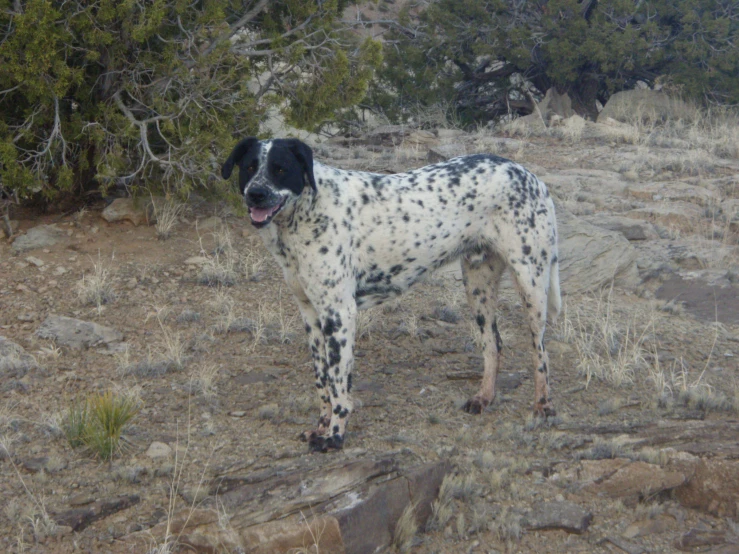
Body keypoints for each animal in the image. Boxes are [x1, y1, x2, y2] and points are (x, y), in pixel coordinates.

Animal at [220, 136, 560, 450]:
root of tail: (530, 175)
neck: (307, 211)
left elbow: (339, 385)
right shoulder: (311, 316)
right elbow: (322, 382)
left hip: (531, 283)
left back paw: (543, 406)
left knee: (540, 352)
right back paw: (484, 397)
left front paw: (335, 435)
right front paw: (321, 427)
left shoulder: (339, 315)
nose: (255, 193)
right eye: (249, 167)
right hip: (478, 286)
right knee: (493, 344)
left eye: (280, 168)